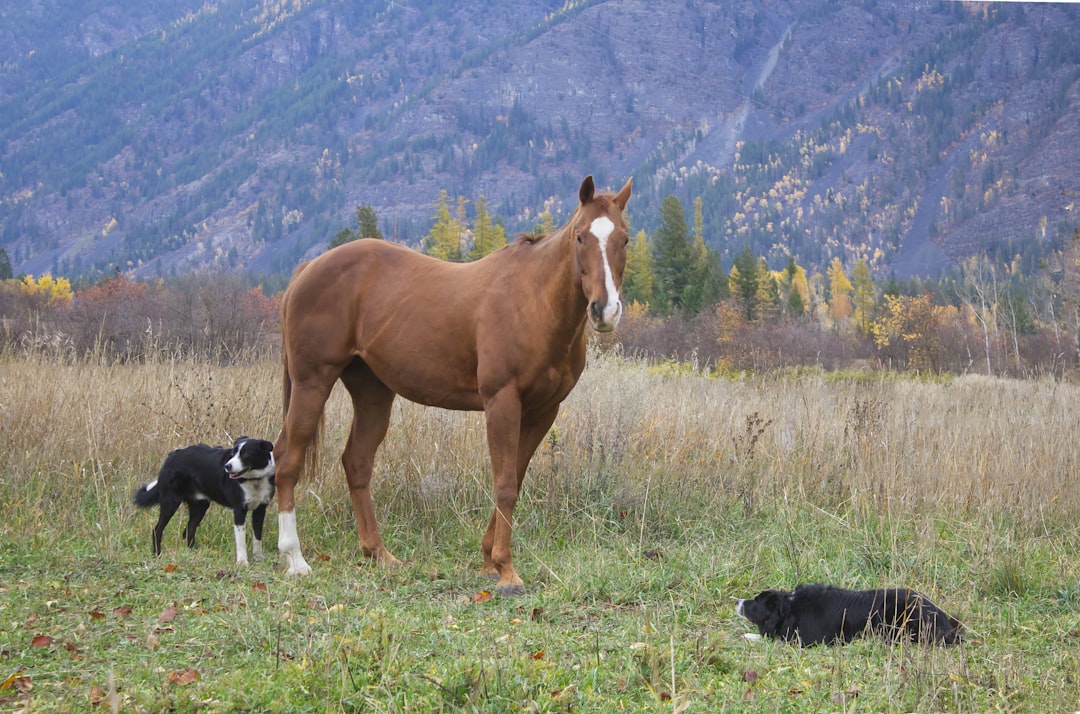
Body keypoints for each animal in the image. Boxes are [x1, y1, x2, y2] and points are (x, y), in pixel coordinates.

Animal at [273, 175, 632, 595]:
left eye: (624, 239)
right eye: (579, 236)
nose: (604, 310)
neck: (533, 302)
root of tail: (308, 267)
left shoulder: (543, 411)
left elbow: (515, 479)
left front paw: (489, 561)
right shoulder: (502, 403)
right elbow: (505, 484)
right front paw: (506, 570)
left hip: (372, 393)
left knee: (356, 462)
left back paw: (380, 555)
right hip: (312, 382)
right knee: (287, 459)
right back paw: (295, 559)